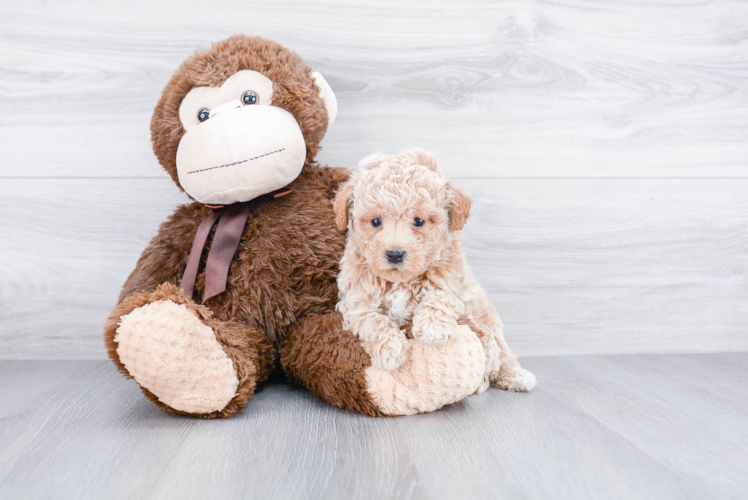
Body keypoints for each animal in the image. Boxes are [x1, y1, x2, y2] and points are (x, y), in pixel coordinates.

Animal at [334, 149, 536, 394]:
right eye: (375, 221)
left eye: (419, 221)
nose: (394, 254)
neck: (401, 281)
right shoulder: (356, 304)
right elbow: (373, 322)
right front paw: (392, 351)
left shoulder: (458, 286)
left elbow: (439, 296)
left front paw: (433, 330)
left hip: (489, 324)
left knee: (500, 352)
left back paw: (515, 376)